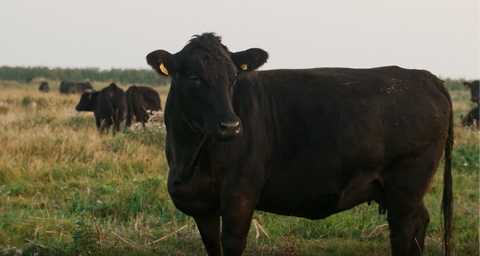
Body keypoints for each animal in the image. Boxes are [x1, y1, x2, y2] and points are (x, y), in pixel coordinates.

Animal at [146, 32, 454, 256]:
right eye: (194, 76)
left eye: (233, 77)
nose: (231, 126)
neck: (188, 157)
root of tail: (425, 76)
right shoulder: (202, 206)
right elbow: (213, 245)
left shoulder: (240, 193)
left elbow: (232, 242)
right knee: (421, 221)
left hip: (407, 182)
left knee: (404, 229)